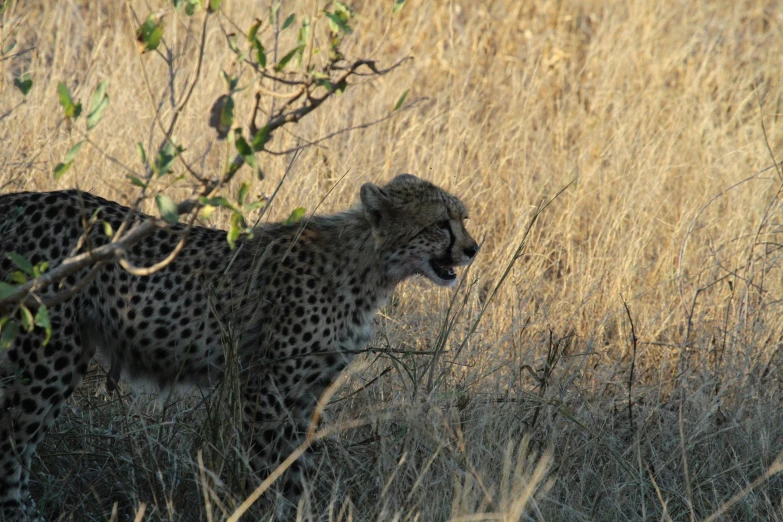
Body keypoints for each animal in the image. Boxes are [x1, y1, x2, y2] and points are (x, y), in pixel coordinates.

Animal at [0, 174, 478, 516]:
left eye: (463, 220)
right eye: (441, 224)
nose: (474, 248)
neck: (370, 268)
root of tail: (20, 200)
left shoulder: (307, 395)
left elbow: (296, 468)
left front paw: (297, 511)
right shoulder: (267, 387)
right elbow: (267, 465)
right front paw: (268, 511)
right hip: (47, 354)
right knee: (12, 444)